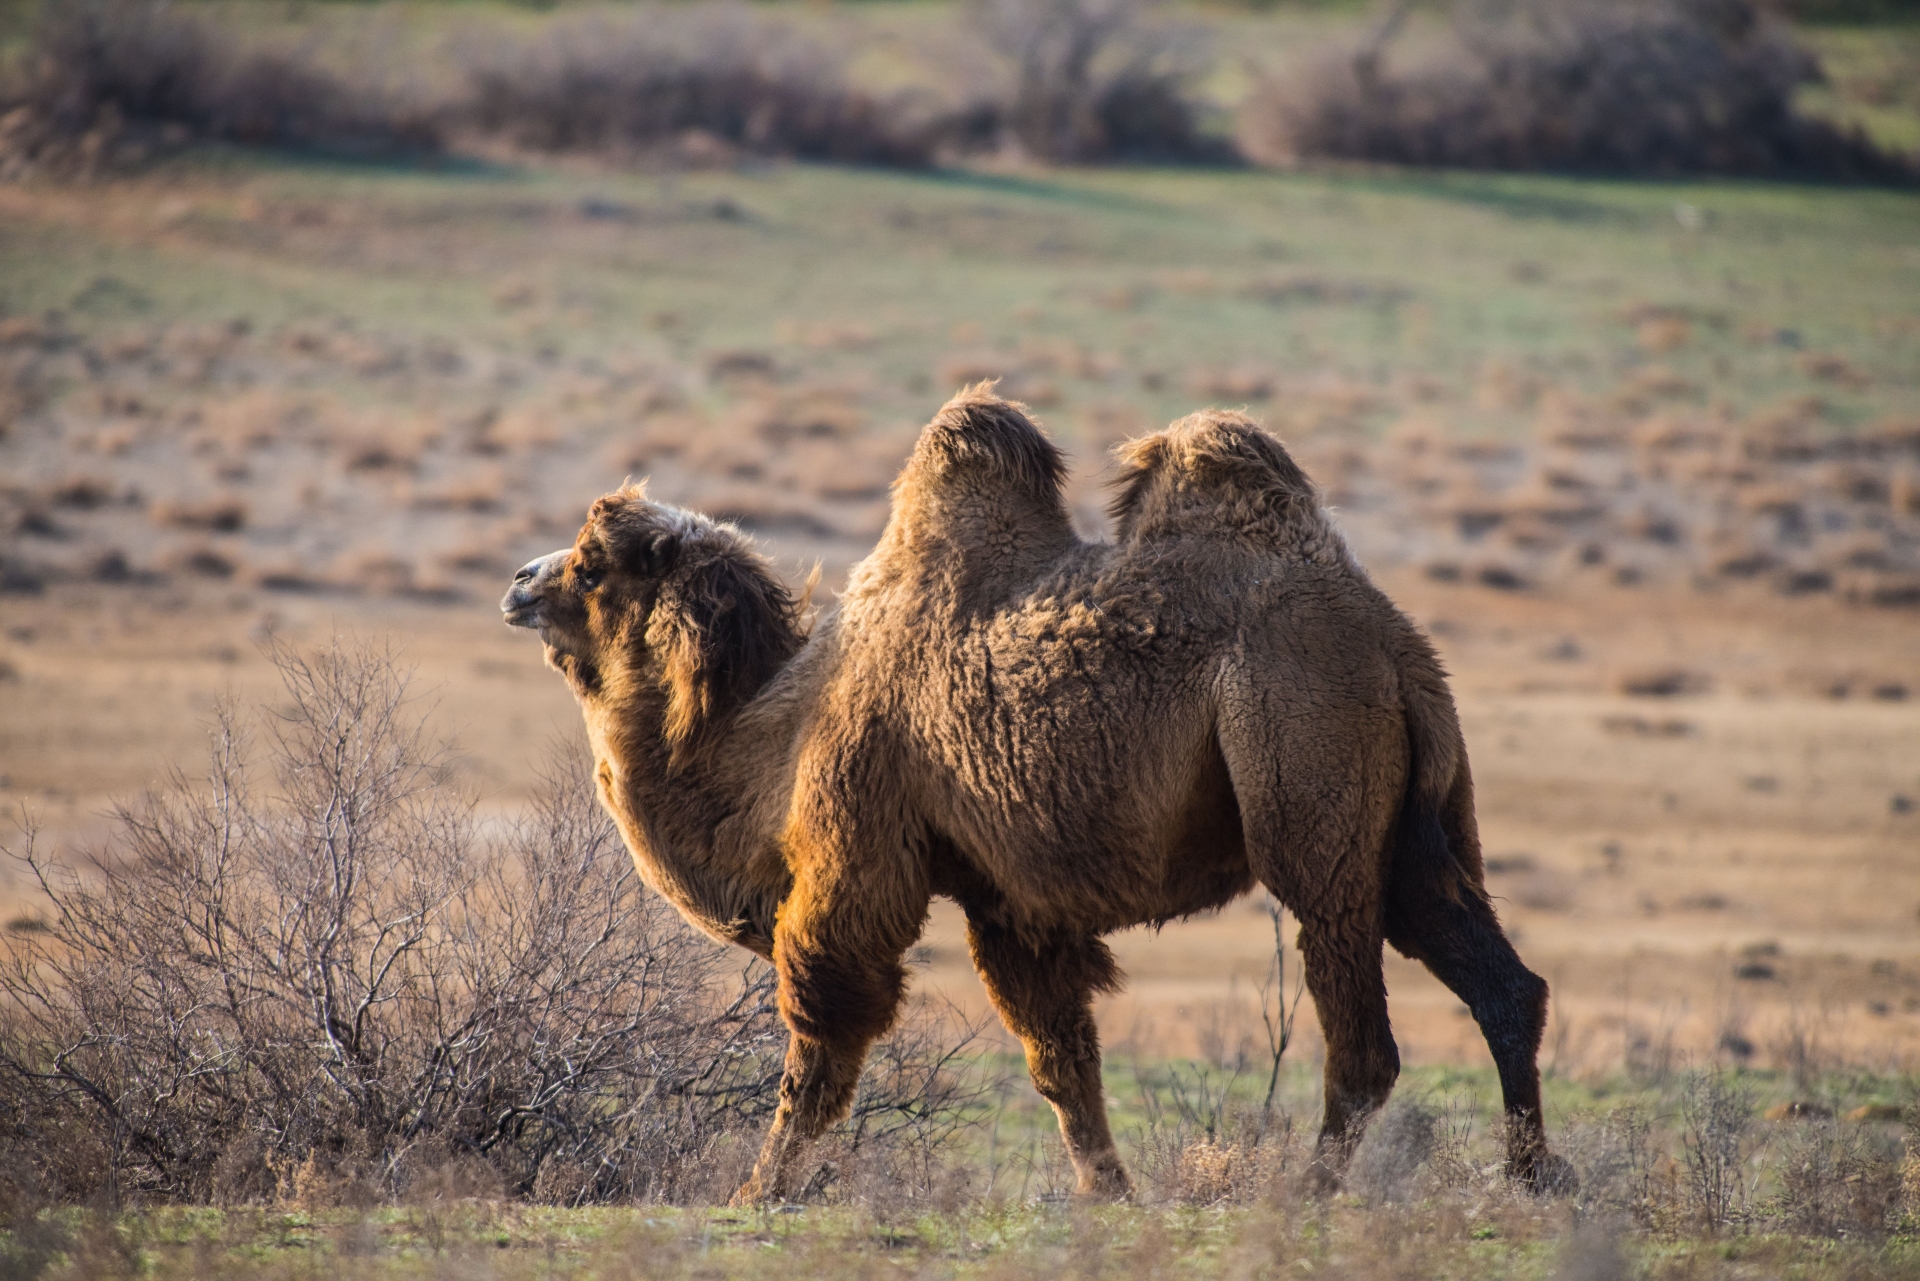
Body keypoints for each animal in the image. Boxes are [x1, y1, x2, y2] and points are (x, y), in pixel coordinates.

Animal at [501, 386, 1554, 1203]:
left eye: (590, 564)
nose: (517, 580)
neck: (777, 737)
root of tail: (1395, 647)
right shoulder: (1008, 897)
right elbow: (1061, 1059)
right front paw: (1112, 1193)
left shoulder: (854, 852)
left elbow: (822, 1034)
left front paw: (757, 1190)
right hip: (1419, 817)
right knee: (1498, 975)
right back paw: (1536, 1175)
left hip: (1307, 761)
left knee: (1358, 1014)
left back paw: (1311, 1188)